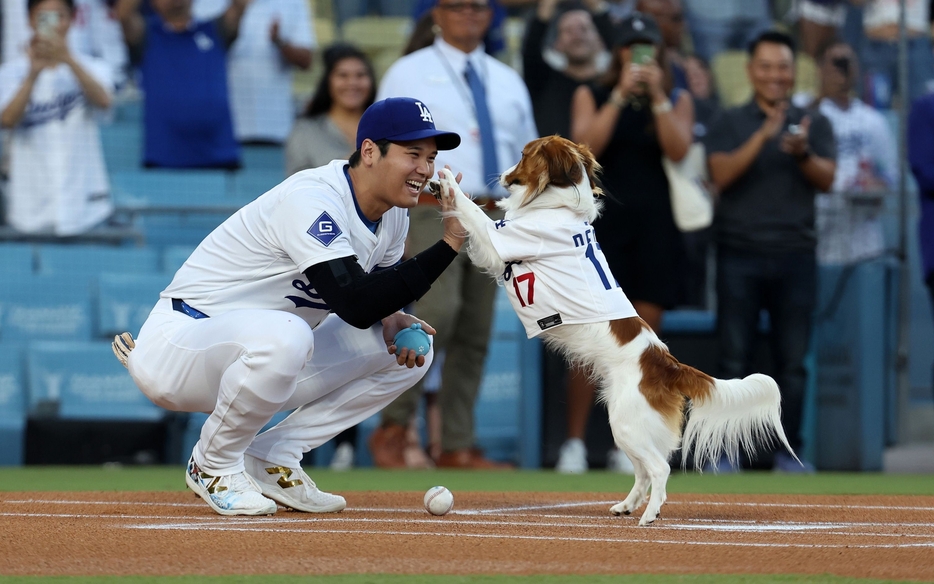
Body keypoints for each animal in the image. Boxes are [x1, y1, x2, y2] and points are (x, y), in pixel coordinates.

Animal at [438, 136, 796, 524]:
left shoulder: (499, 238)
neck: (558, 205)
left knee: (659, 469)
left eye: (523, 155)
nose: (502, 174)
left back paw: (649, 514)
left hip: (627, 422)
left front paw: (446, 179)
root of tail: (666, 363)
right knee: (643, 471)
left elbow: (472, 212)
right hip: (625, 424)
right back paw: (627, 505)